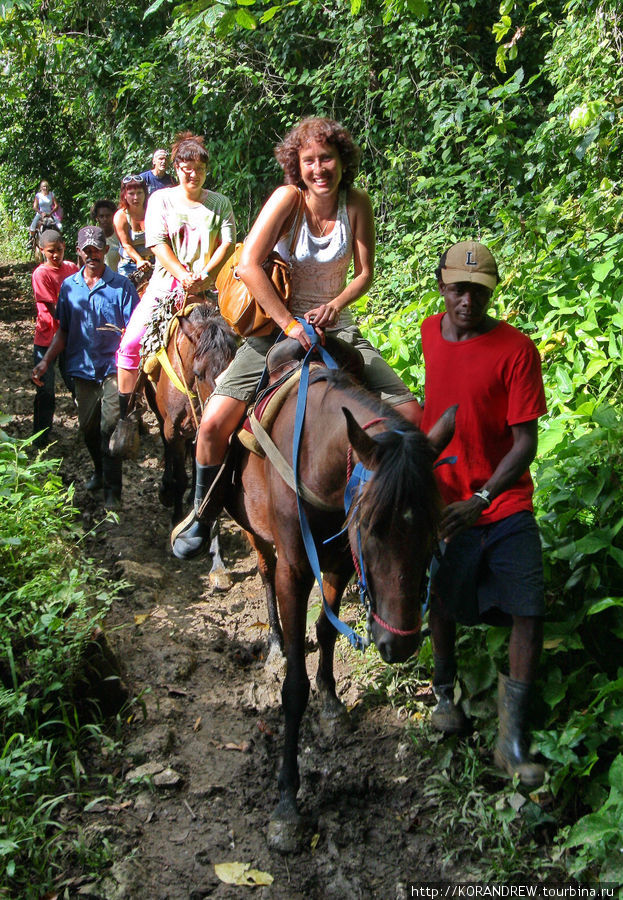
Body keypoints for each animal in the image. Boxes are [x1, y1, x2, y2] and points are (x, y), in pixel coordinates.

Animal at [222, 366, 456, 852]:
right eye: (368, 525)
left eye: (432, 526)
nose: (398, 644)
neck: (316, 456)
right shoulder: (296, 570)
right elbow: (294, 688)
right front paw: (287, 803)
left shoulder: (341, 562)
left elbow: (327, 631)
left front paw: (331, 703)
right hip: (251, 524)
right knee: (264, 568)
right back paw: (274, 642)